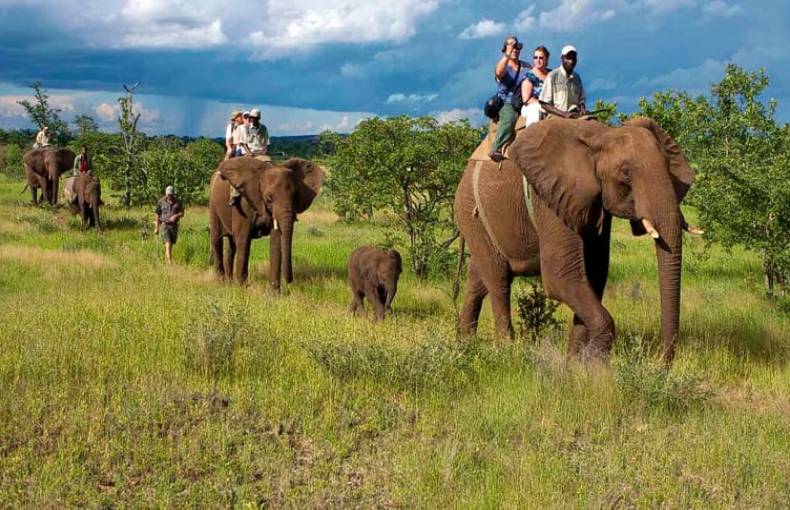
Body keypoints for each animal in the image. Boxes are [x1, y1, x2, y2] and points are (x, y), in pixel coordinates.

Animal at [209, 155, 326, 290]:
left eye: (295, 196)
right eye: (269, 198)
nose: (289, 281)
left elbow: (276, 242)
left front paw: (274, 292)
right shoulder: (244, 206)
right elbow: (244, 241)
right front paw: (242, 289)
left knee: (232, 245)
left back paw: (229, 283)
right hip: (213, 204)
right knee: (217, 239)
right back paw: (221, 283)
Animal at [458, 117, 700, 364]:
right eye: (625, 173)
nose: (660, 364)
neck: (602, 135)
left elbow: (594, 273)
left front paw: (575, 362)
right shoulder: (549, 197)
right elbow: (562, 276)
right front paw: (595, 365)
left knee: (478, 280)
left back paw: (465, 343)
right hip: (470, 212)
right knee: (499, 281)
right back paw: (506, 349)